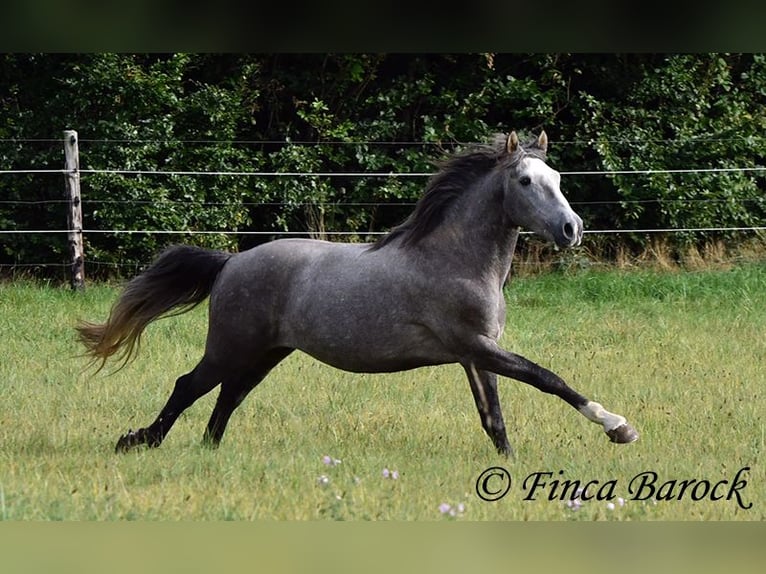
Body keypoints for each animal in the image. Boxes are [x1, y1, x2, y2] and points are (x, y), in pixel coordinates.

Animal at [79, 132, 640, 460]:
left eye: (558, 178)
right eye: (525, 180)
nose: (572, 229)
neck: (455, 260)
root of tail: (231, 262)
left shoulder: (475, 355)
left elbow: (493, 417)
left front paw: (511, 465)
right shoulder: (477, 347)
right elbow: (548, 379)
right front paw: (618, 427)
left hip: (266, 353)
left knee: (228, 397)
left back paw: (209, 452)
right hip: (231, 346)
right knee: (189, 386)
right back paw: (138, 442)